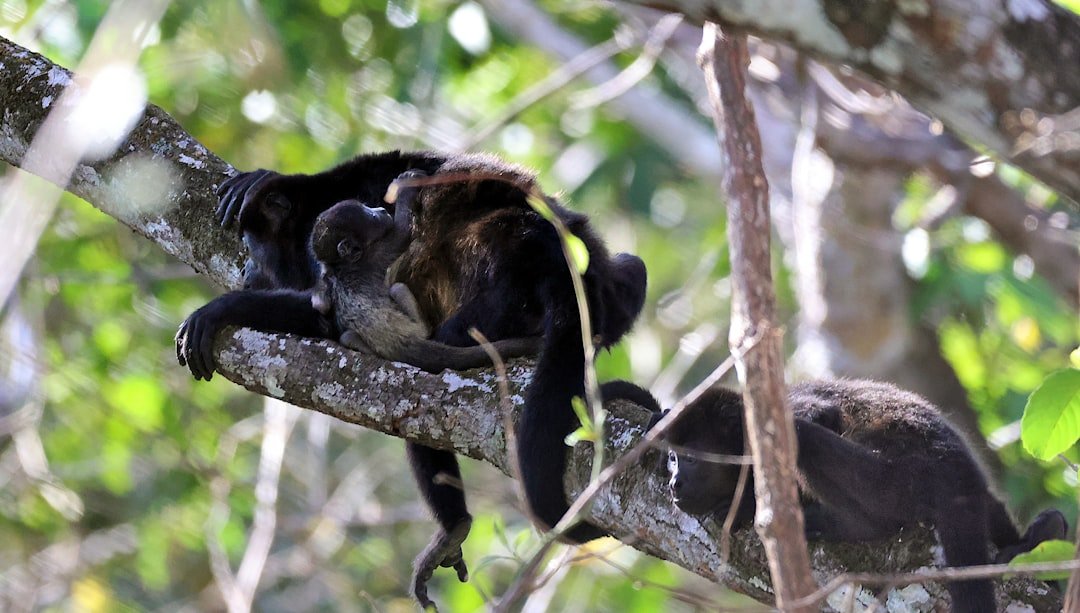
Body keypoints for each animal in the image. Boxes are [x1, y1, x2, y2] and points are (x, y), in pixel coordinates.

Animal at [177, 151, 647, 608]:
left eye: (254, 250)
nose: (247, 273)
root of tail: (550, 252)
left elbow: (323, 311)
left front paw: (218, 310)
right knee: (633, 269)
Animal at [628, 378, 1068, 613]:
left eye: (690, 459)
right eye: (672, 458)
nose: (674, 483)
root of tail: (955, 478)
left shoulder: (776, 416)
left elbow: (814, 418)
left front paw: (749, 503)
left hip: (894, 481)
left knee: (808, 441)